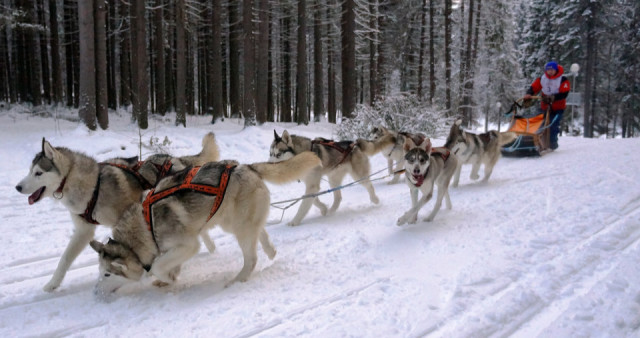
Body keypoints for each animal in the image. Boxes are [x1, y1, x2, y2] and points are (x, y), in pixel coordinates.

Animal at [15, 133, 220, 292]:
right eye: (29, 171)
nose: (17, 187)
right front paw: (52, 283)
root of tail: (175, 158)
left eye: (38, 173)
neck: (92, 186)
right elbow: (65, 258)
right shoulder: (84, 231)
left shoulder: (127, 217)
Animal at [87, 151, 322, 296]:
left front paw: (168, 278)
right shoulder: (175, 247)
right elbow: (166, 263)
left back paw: (237, 280)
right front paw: (170, 276)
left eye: (107, 274)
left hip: (240, 230)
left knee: (251, 258)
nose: (96, 293)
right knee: (260, 232)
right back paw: (270, 250)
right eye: (99, 272)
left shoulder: (189, 245)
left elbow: (157, 266)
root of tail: (247, 167)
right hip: (233, 222)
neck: (146, 224)